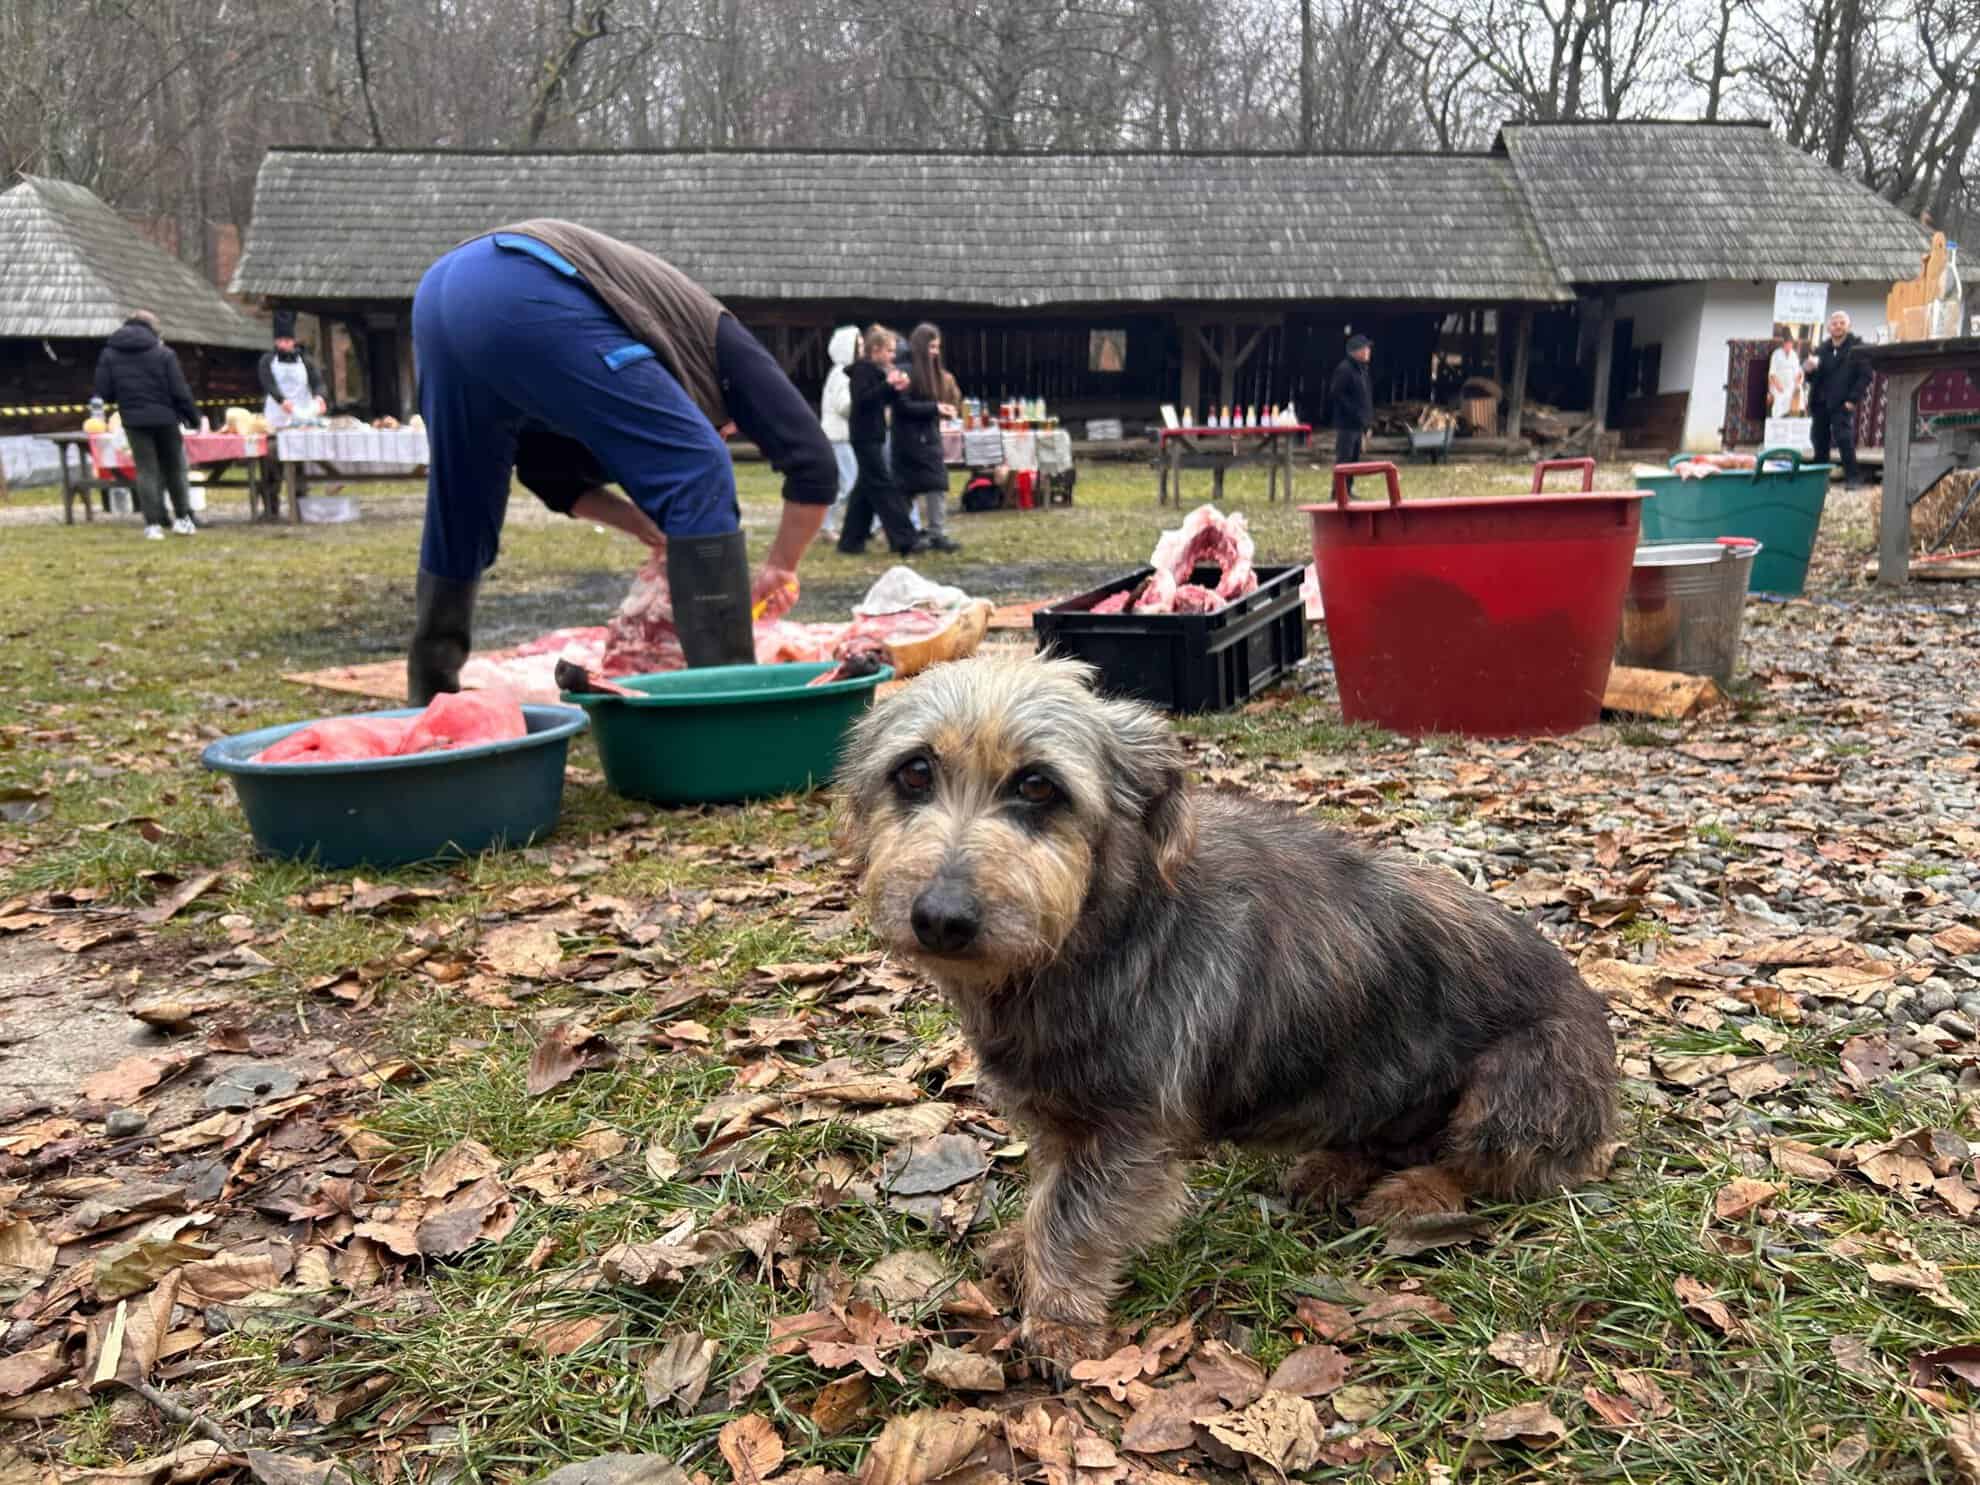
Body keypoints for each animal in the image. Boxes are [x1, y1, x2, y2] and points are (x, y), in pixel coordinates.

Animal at [827, 653, 1615, 1362]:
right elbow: (1049, 1190)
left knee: (1491, 1169)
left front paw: (1058, 1318)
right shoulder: (1063, 1117)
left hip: (1515, 1086)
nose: (941, 918)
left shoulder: (1130, 1134)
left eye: (1038, 785)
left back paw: (1418, 1192)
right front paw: (1022, 1251)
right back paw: (1334, 1169)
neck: (1100, 927)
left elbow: (1071, 1216)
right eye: (914, 772)